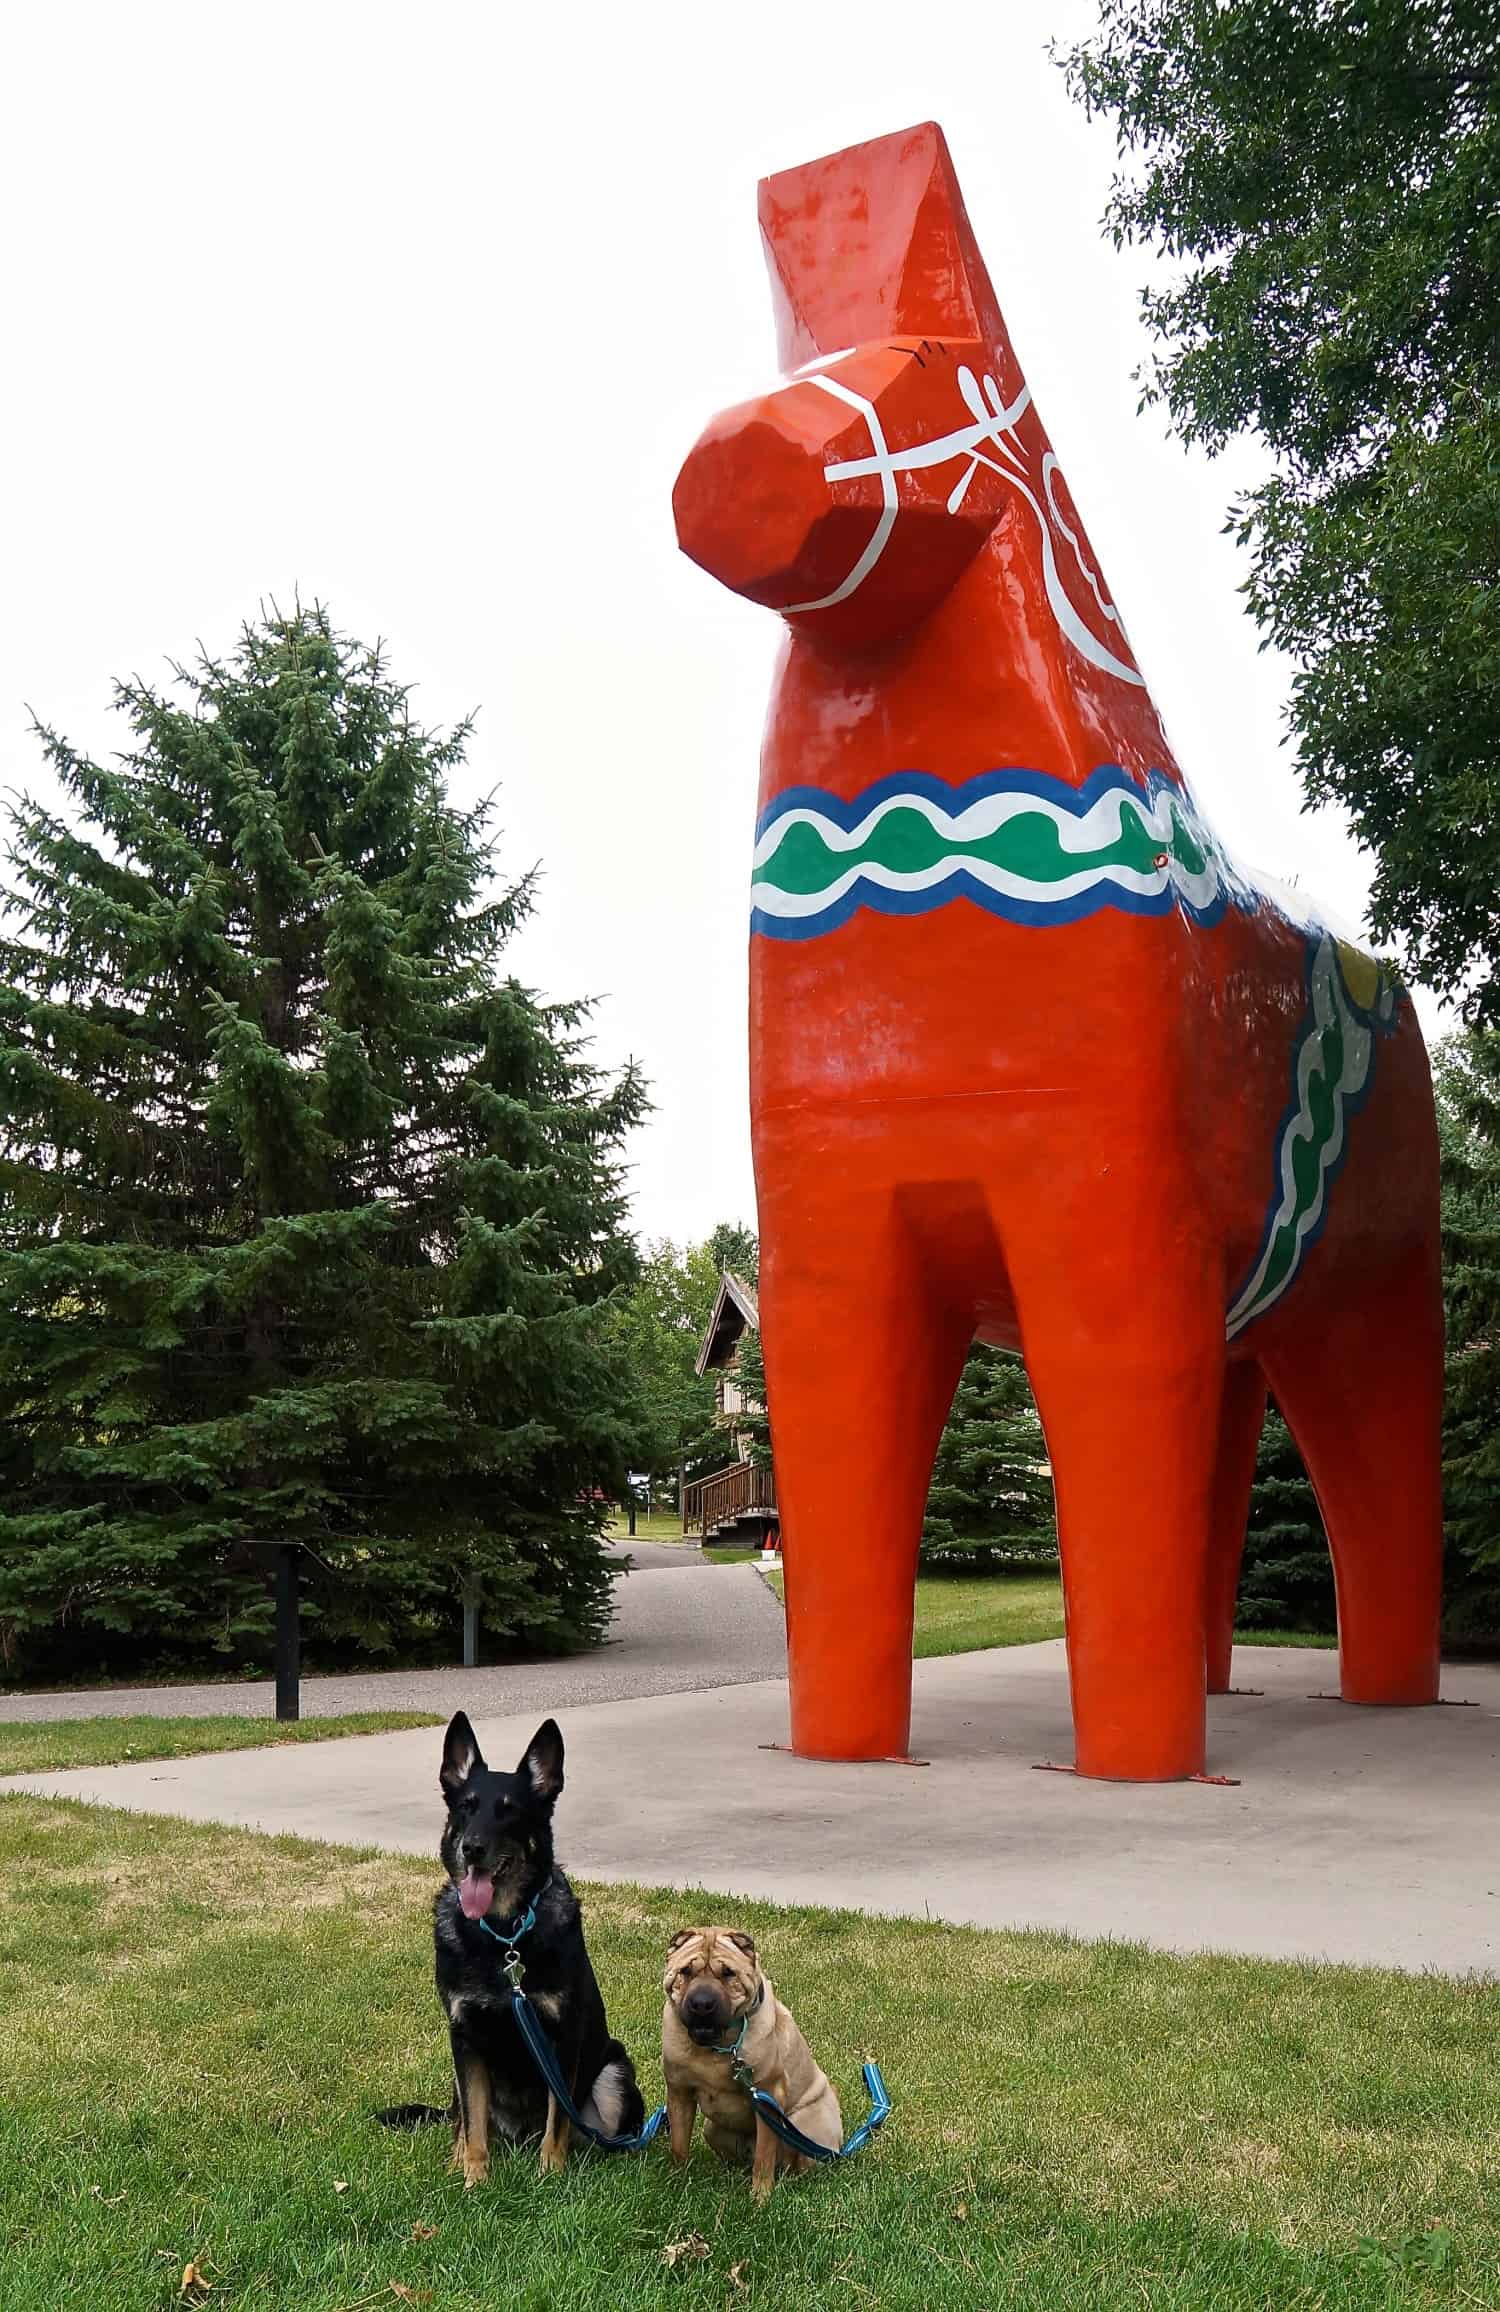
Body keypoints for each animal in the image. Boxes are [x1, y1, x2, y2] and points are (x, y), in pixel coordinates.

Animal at [376, 1710, 642, 2173]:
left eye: (510, 1812)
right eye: (466, 1807)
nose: (472, 1848)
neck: (504, 1935)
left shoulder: (561, 2038)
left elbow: (557, 2123)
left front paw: (550, 2174)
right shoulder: (464, 2037)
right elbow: (473, 2125)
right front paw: (472, 2178)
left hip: (614, 2073)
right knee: (463, 2120)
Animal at [656, 1932, 836, 2201]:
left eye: (728, 1973)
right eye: (685, 1971)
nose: (702, 2003)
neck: (715, 2050)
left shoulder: (768, 2095)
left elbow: (763, 2157)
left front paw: (760, 2198)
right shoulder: (679, 2092)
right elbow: (678, 2144)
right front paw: (677, 2182)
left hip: (805, 2125)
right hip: (713, 2128)